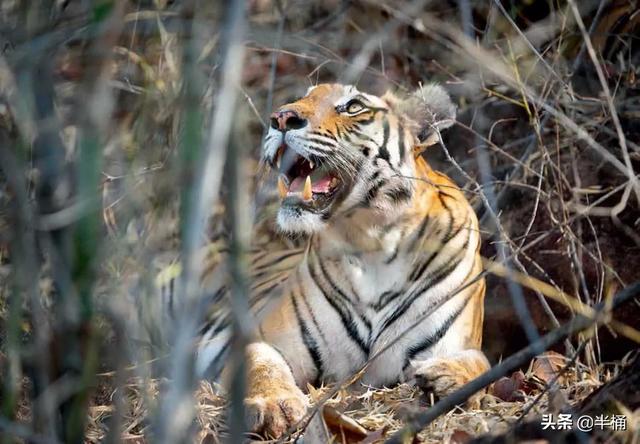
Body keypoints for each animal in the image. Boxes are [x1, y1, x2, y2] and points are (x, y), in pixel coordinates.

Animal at [191, 82, 490, 438]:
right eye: (305, 95)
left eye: (353, 106)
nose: (280, 118)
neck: (374, 243)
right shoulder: (260, 338)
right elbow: (261, 363)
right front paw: (275, 406)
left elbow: (483, 364)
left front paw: (444, 377)